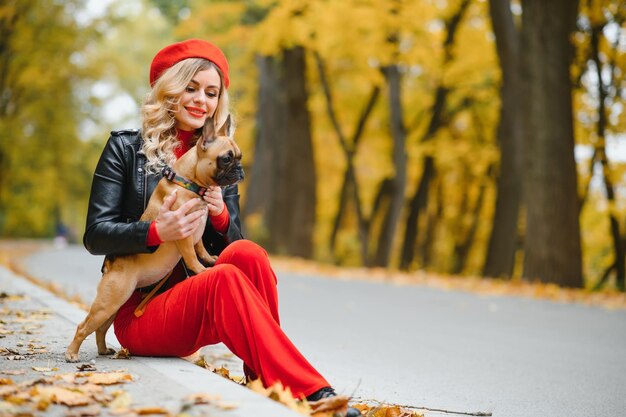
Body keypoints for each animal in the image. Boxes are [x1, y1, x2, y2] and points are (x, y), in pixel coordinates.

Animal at [66, 116, 241, 360]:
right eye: (226, 158)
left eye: (239, 156)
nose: (240, 169)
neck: (190, 182)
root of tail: (111, 265)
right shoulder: (184, 232)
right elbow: (190, 254)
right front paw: (200, 269)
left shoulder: (197, 229)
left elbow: (200, 247)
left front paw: (209, 259)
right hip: (109, 301)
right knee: (84, 327)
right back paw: (72, 353)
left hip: (115, 304)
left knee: (101, 328)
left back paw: (102, 349)